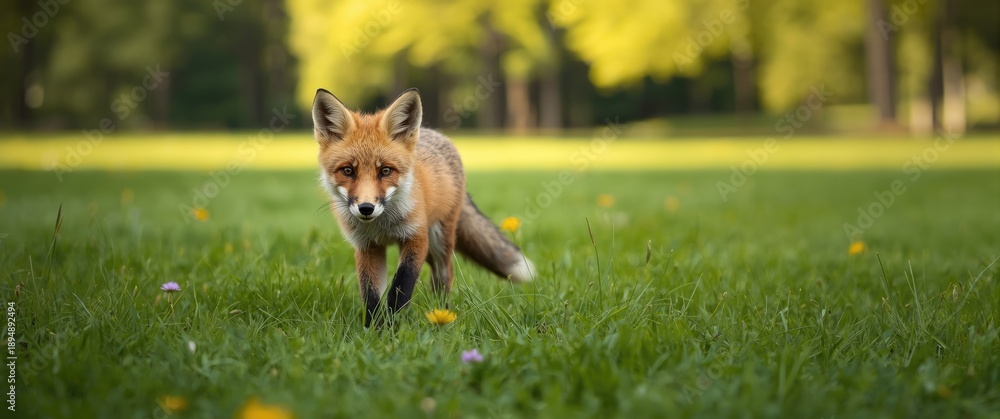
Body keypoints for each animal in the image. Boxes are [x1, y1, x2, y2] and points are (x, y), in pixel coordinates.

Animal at [312, 87, 535, 326]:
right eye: (348, 171)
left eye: (385, 171)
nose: (366, 208)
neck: (382, 226)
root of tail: (434, 133)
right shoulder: (367, 247)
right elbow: (370, 294)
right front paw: (374, 328)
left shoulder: (416, 237)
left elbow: (401, 286)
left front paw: (393, 325)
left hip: (439, 239)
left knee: (444, 275)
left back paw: (442, 312)